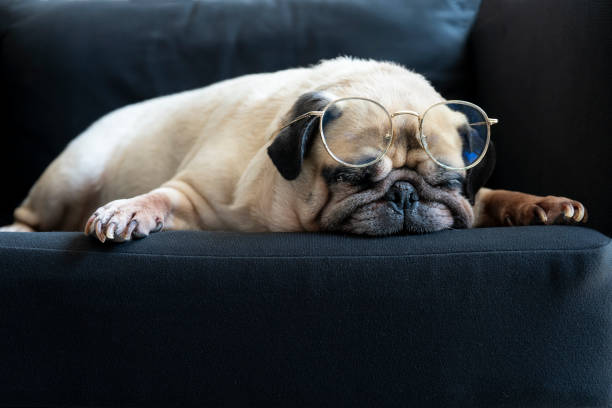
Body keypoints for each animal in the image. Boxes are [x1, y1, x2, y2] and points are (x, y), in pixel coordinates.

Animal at [0, 58, 584, 242]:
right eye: (353, 178)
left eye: (448, 184)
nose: (405, 195)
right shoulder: (193, 196)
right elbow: (159, 197)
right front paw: (128, 211)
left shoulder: (470, 197)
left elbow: (493, 198)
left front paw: (544, 205)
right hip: (73, 173)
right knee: (30, 215)